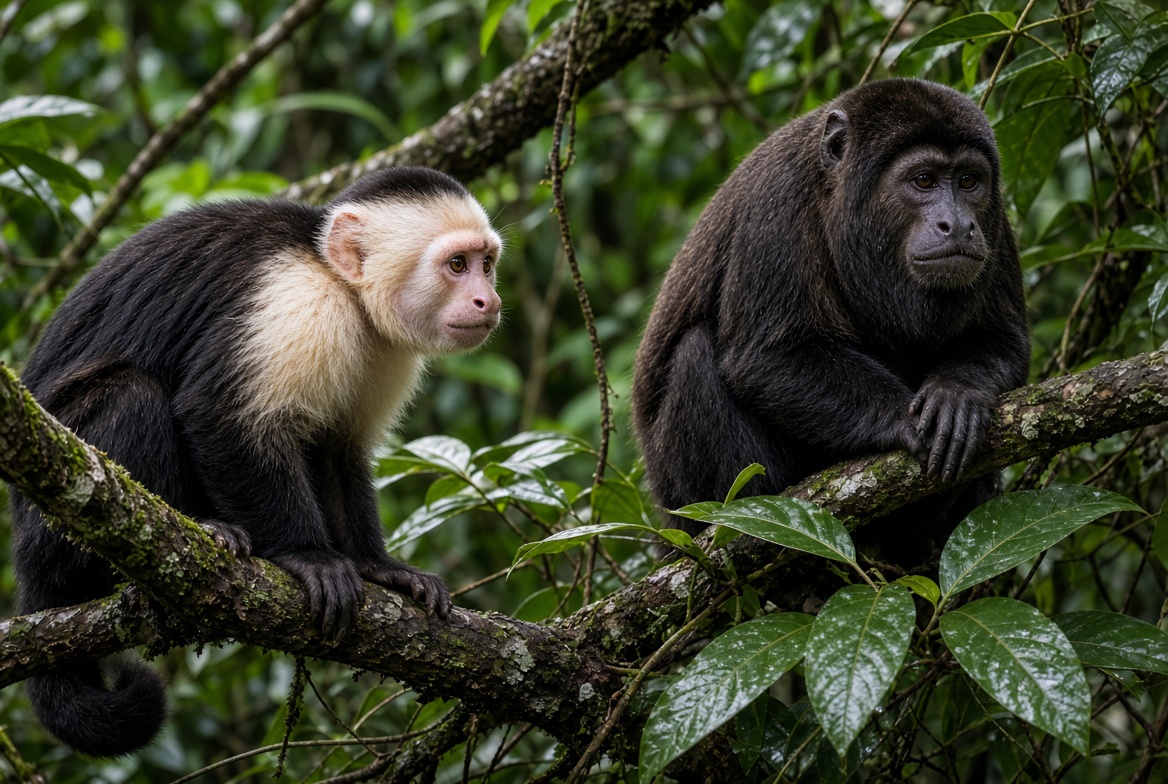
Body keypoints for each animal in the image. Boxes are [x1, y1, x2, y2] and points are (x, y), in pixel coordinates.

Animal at [7, 166, 503, 757]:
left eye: (487, 263)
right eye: (457, 266)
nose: (490, 300)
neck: (341, 285)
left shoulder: (382, 349)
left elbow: (339, 450)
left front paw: (381, 569)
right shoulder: (293, 301)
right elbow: (217, 414)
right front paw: (310, 556)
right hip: (49, 529)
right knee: (133, 396)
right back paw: (198, 531)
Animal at [632, 79, 1029, 557]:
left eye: (969, 181)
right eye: (924, 180)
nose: (959, 224)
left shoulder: (997, 223)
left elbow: (1004, 341)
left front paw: (958, 395)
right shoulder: (778, 201)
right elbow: (768, 355)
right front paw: (902, 420)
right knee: (694, 356)